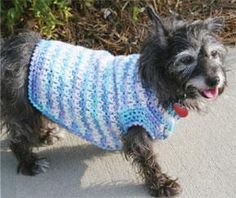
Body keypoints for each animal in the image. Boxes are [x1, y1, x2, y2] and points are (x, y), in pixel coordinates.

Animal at [0, 6, 228, 197]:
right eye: (187, 59)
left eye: (213, 54)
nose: (215, 80)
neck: (155, 83)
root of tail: (12, 49)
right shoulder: (138, 130)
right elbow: (149, 161)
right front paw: (160, 184)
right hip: (23, 111)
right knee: (17, 140)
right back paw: (30, 163)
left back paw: (46, 134)